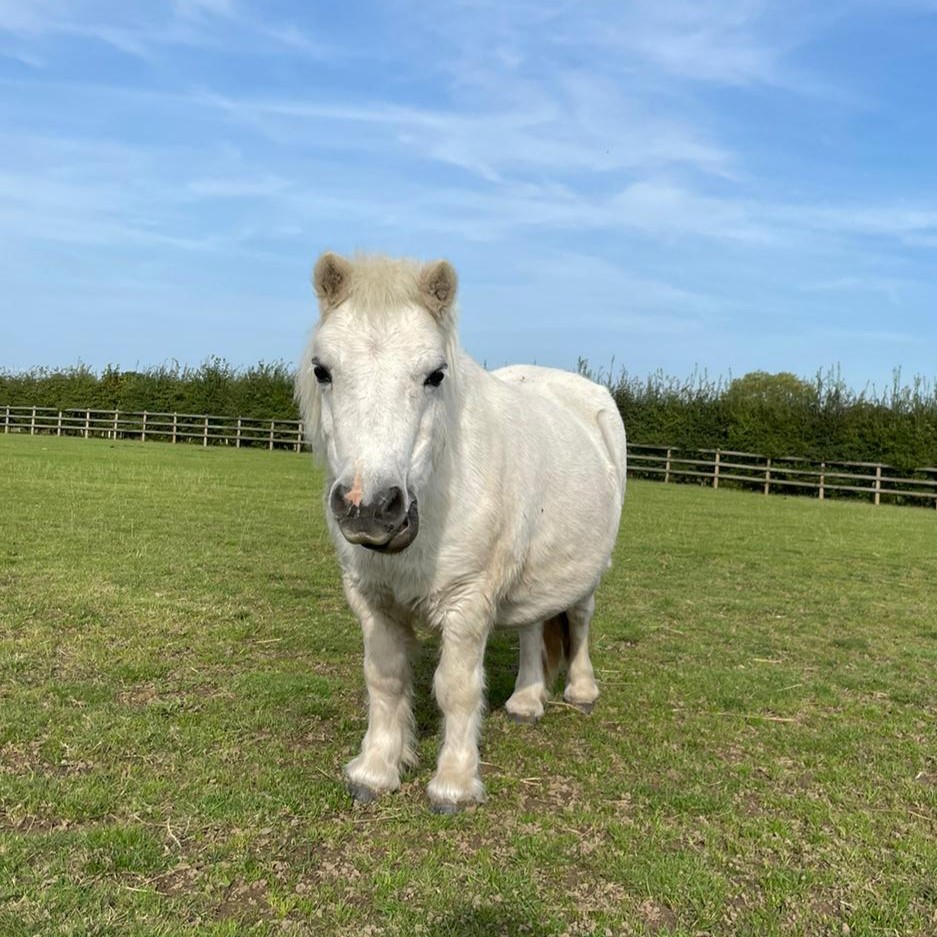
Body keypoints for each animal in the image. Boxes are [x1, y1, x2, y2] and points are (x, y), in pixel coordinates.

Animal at [296, 254, 624, 812]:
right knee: (533, 627)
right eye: (323, 370)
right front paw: (375, 771)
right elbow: (385, 679)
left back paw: (580, 692)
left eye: (435, 375)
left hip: (588, 572)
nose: (370, 507)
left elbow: (456, 688)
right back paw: (526, 701)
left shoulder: (468, 603)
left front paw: (454, 784)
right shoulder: (373, 600)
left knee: (579, 620)